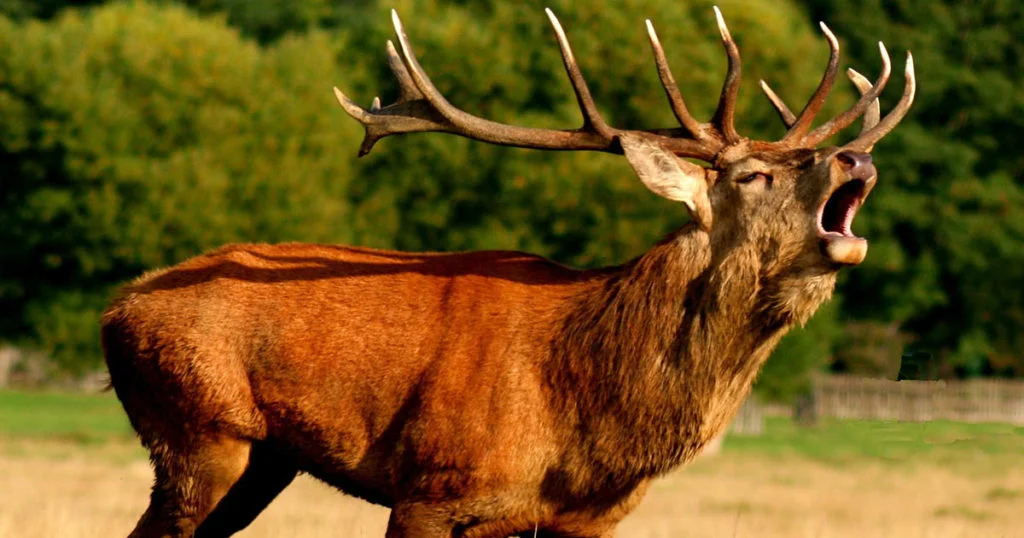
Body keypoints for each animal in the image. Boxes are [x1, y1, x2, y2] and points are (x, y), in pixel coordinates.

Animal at [102, 6, 914, 538]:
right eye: (750, 175)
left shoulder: (584, 521)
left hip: (262, 460)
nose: (855, 157)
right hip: (198, 431)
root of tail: (116, 310)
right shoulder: (431, 488)